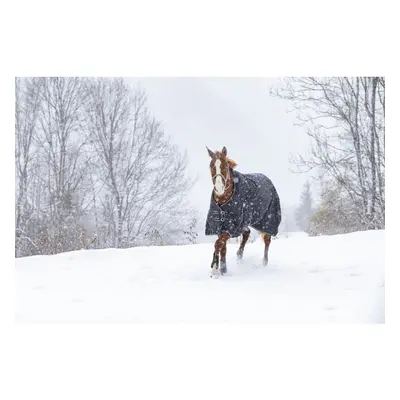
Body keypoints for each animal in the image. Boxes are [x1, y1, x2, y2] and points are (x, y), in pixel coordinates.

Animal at [206, 146, 282, 278]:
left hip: (267, 221)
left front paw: (215, 269)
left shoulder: (232, 226)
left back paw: (264, 263)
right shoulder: (219, 225)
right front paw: (223, 270)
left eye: (225, 165)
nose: (219, 188)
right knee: (247, 233)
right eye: (211, 165)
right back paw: (239, 257)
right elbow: (222, 246)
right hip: (245, 222)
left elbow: (218, 244)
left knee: (267, 241)